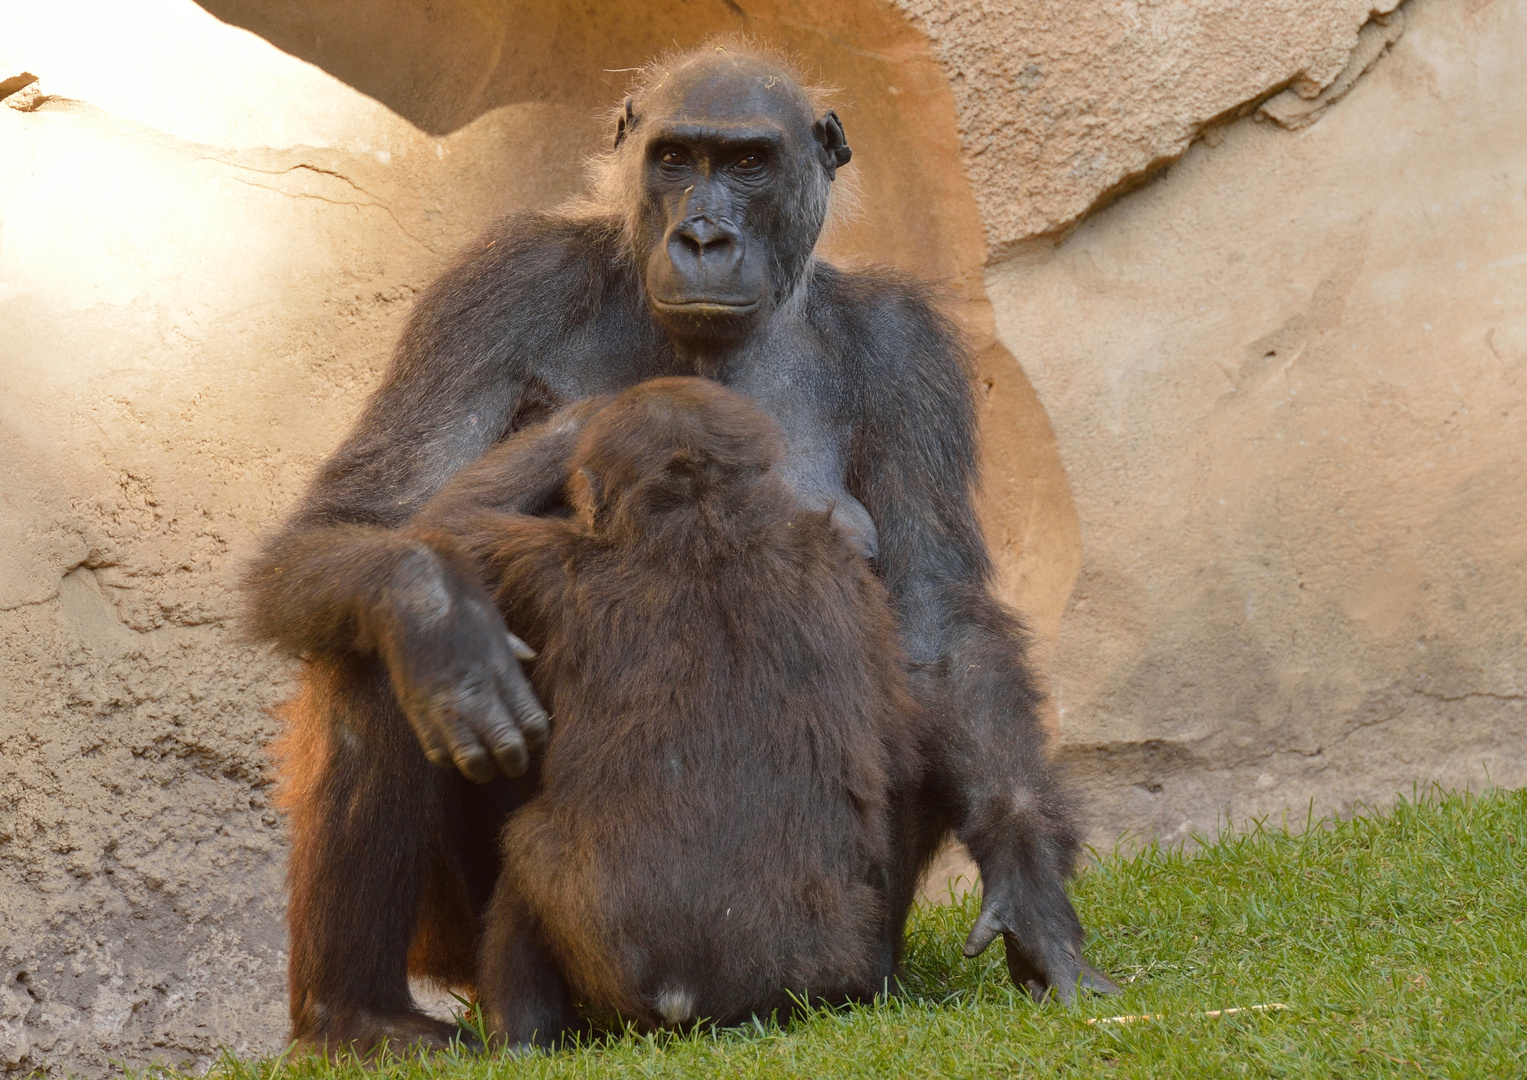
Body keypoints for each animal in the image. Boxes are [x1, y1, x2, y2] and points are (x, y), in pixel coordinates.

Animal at [442, 380, 916, 1044]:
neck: (703, 515)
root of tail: (683, 996)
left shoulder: (538, 561)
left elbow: (446, 528)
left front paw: (575, 424)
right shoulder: (842, 564)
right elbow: (898, 757)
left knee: (526, 857)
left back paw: (522, 1037)